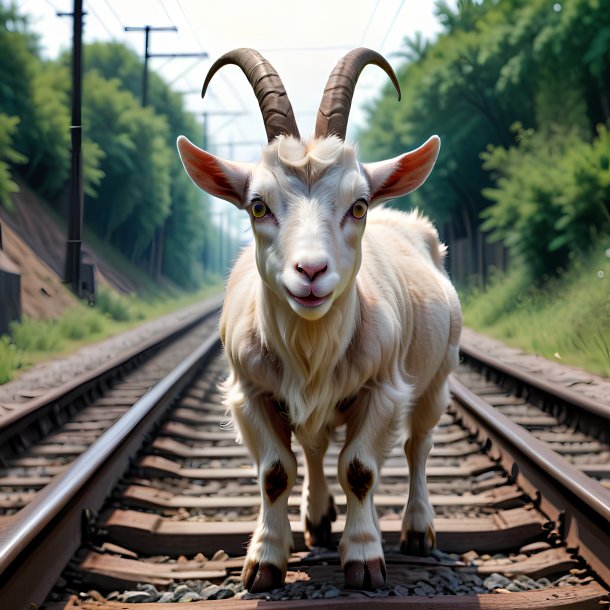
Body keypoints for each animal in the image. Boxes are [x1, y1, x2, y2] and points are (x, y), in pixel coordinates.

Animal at [176, 50, 460, 592]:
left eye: (359, 205)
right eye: (257, 206)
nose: (310, 271)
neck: (310, 347)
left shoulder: (383, 389)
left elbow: (360, 469)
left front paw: (364, 558)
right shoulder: (249, 392)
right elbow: (275, 471)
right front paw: (265, 560)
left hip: (437, 376)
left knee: (418, 445)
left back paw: (417, 530)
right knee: (313, 445)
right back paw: (318, 518)